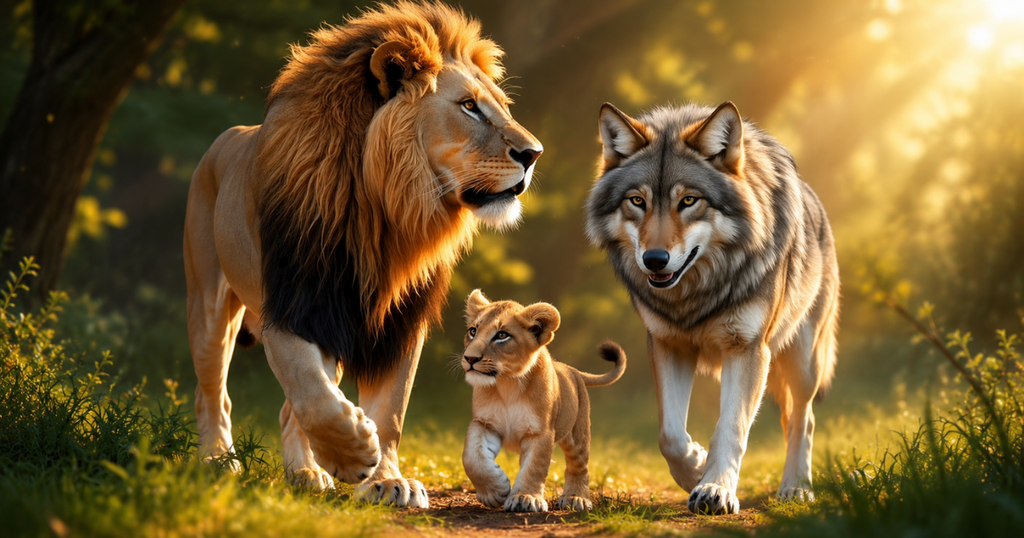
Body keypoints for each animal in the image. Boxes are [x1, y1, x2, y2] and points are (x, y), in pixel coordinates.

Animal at [183, 2, 542, 508]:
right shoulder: (294, 302)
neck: (382, 207)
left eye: (502, 107)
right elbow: (310, 389)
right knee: (213, 390)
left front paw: (385, 479)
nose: (534, 153)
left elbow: (388, 409)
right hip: (210, 303)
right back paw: (218, 460)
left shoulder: (398, 317)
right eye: (469, 106)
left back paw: (307, 472)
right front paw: (354, 454)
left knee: (287, 410)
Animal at [459, 290, 627, 512]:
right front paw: (495, 492)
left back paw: (576, 499)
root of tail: (572, 370)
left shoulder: (540, 432)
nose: (469, 358)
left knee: (579, 466)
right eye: (472, 331)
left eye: (502, 335)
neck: (507, 384)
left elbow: (534, 467)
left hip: (578, 434)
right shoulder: (484, 423)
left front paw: (524, 498)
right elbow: (472, 457)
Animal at [584, 101, 839, 515]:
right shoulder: (668, 345)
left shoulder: (748, 349)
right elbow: (669, 435)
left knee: (804, 419)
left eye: (689, 201)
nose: (654, 260)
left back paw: (797, 487)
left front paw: (716, 489)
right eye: (637, 201)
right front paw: (695, 470)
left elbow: (731, 428)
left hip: (804, 362)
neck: (698, 295)